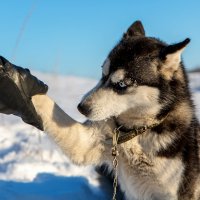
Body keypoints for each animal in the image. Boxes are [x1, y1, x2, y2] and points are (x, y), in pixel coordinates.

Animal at [0, 21, 199, 199]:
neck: (137, 131)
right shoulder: (88, 142)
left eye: (121, 84)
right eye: (103, 74)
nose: (81, 108)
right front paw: (16, 82)